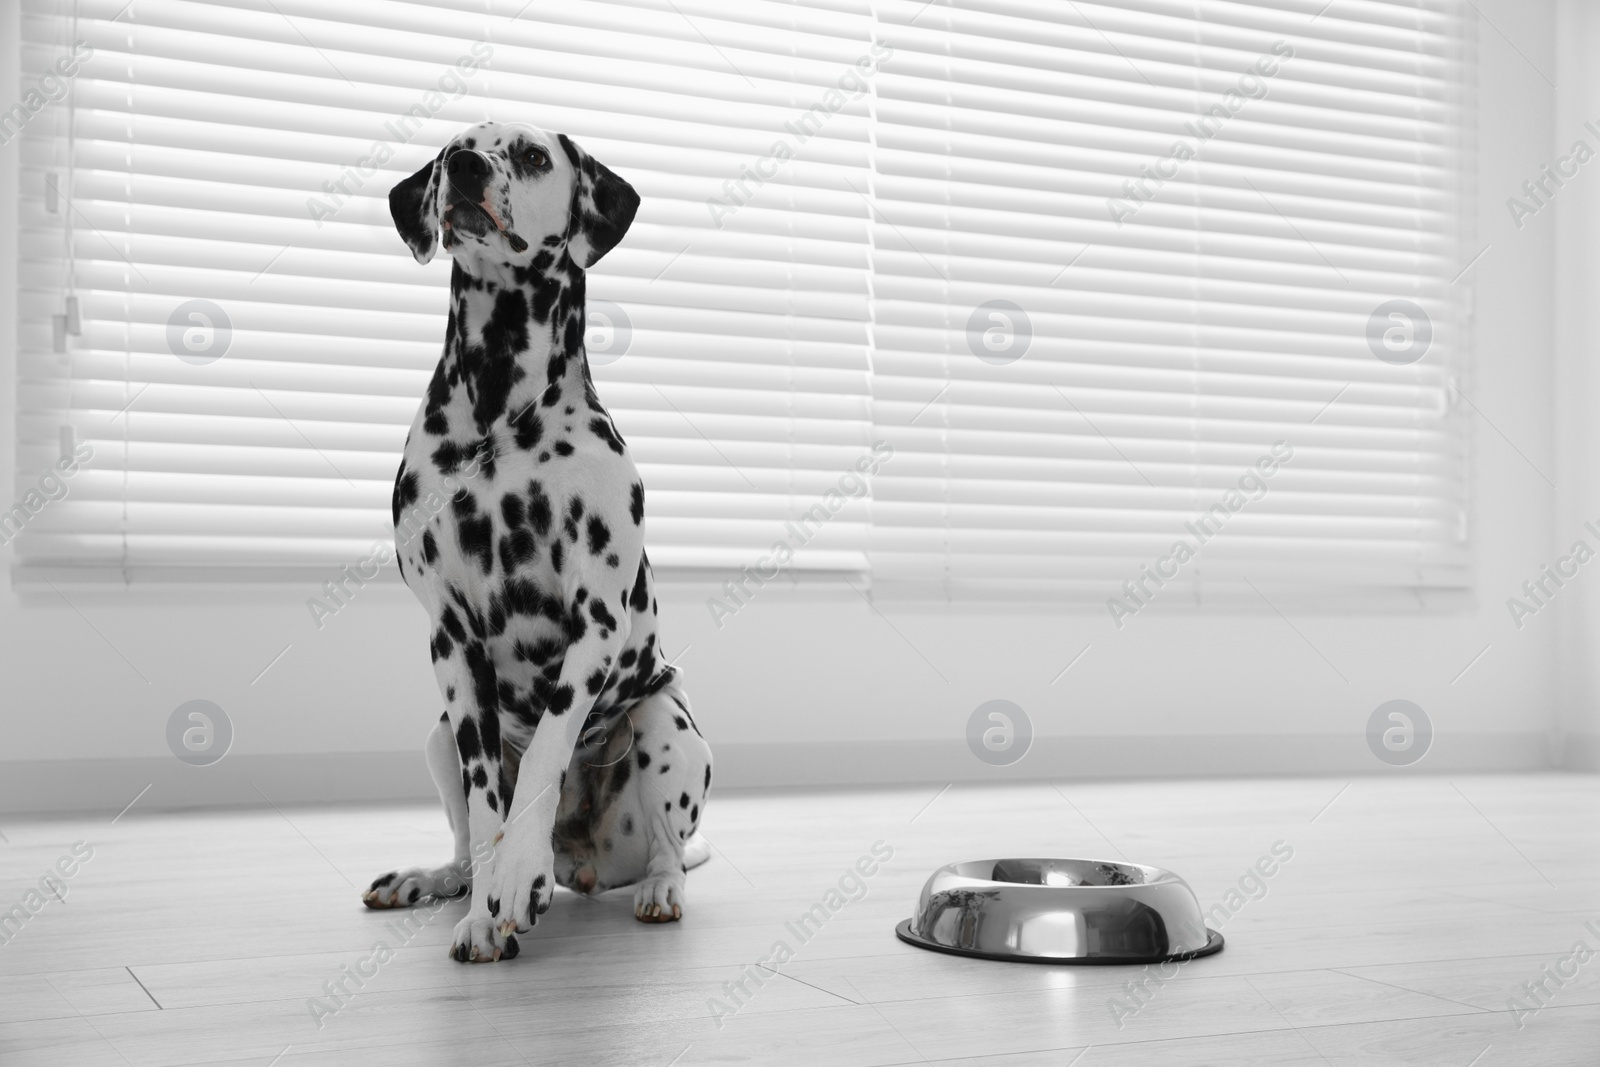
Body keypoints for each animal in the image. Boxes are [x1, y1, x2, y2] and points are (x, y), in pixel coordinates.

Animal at [366, 120, 716, 966]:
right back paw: (435, 879)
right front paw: (485, 911)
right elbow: (491, 800)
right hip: (436, 738)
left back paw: (657, 887)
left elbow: (545, 760)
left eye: (530, 155)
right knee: (465, 844)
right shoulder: (452, 641)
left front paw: (519, 873)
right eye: (452, 148)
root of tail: (585, 861)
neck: (499, 409)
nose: (464, 169)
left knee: (666, 848)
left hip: (668, 727)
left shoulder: (596, 621)